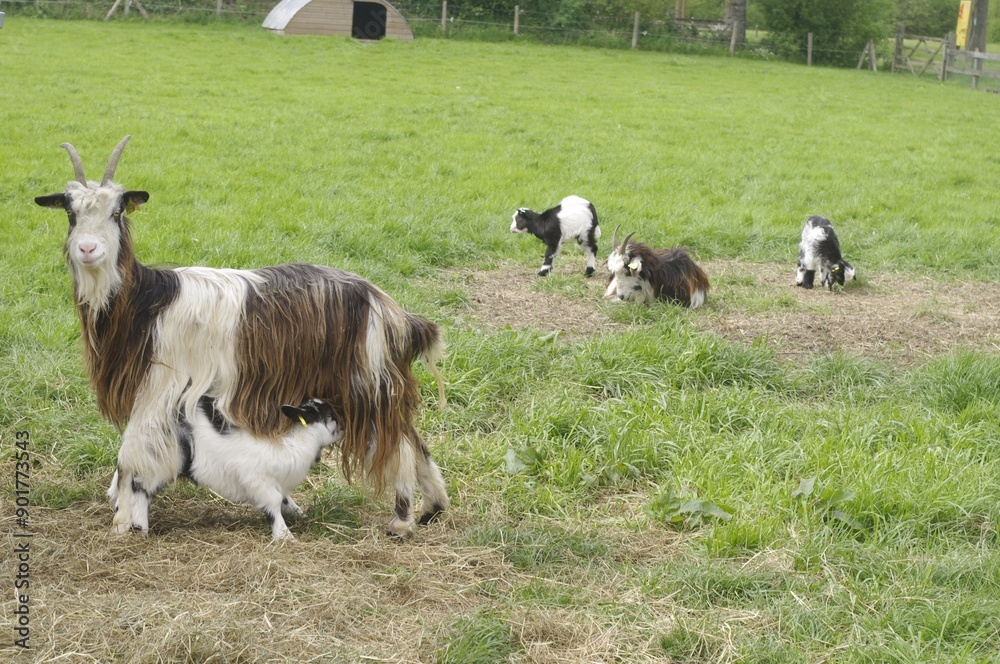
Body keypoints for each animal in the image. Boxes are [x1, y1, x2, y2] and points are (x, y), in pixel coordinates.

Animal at [107, 397, 343, 541]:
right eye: (330, 416)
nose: (343, 429)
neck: (293, 444)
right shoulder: (260, 481)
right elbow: (274, 505)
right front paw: (284, 536)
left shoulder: (278, 484)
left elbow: (286, 500)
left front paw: (300, 515)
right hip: (157, 465)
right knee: (138, 490)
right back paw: (141, 528)